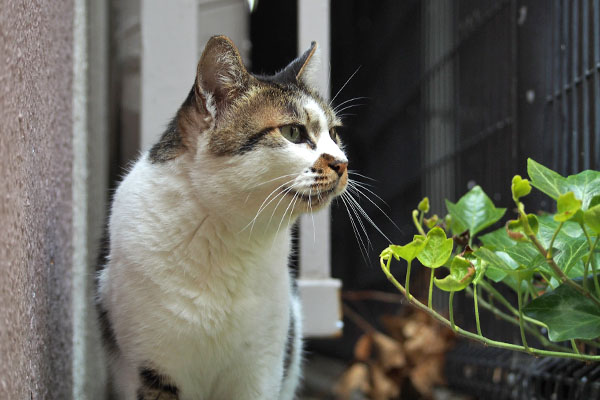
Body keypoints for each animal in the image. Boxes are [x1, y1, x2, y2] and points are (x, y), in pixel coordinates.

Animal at [96, 35, 350, 400]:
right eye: (292, 132)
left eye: (335, 134)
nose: (343, 163)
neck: (229, 235)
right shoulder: (150, 366)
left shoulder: (262, 368)